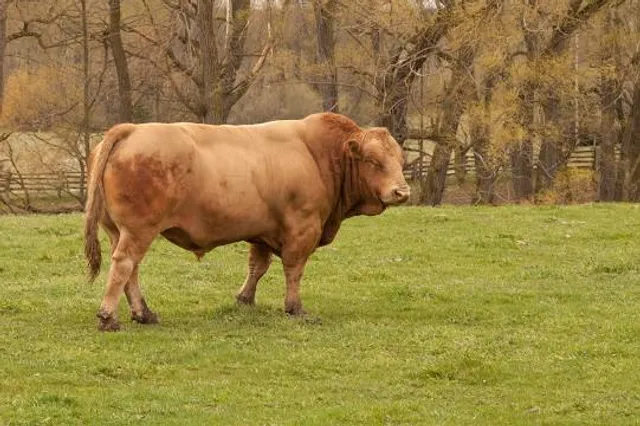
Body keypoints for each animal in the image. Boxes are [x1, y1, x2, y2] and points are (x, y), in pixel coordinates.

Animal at [84, 112, 410, 331]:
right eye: (373, 161)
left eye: (400, 160)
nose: (402, 192)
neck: (319, 157)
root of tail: (132, 129)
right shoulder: (302, 230)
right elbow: (294, 270)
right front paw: (295, 308)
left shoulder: (263, 231)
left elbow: (258, 267)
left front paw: (245, 299)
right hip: (138, 230)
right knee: (124, 265)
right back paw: (109, 317)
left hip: (120, 231)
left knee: (131, 271)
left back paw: (144, 314)